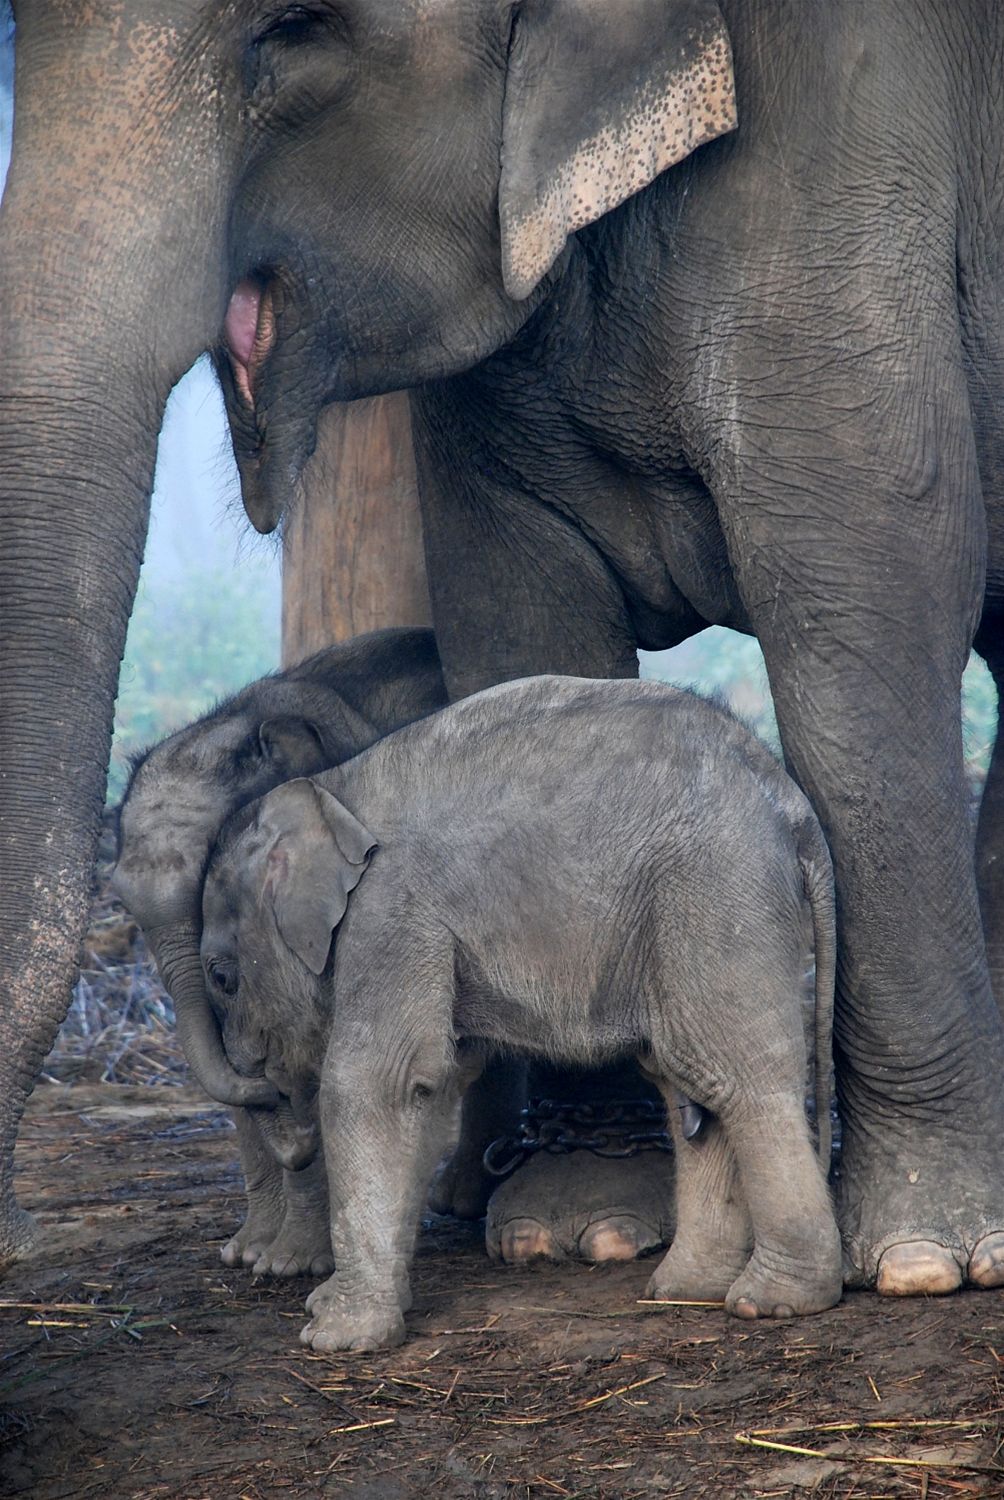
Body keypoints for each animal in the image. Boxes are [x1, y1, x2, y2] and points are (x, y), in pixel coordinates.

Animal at [201, 675, 840, 1356]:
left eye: (222, 977)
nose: (289, 1137)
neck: (332, 788)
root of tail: (792, 805)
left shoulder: (390, 908)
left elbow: (380, 1084)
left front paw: (336, 1338)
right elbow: (433, 1087)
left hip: (717, 891)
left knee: (734, 1076)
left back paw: (771, 1302)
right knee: (685, 1078)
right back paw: (687, 1289)